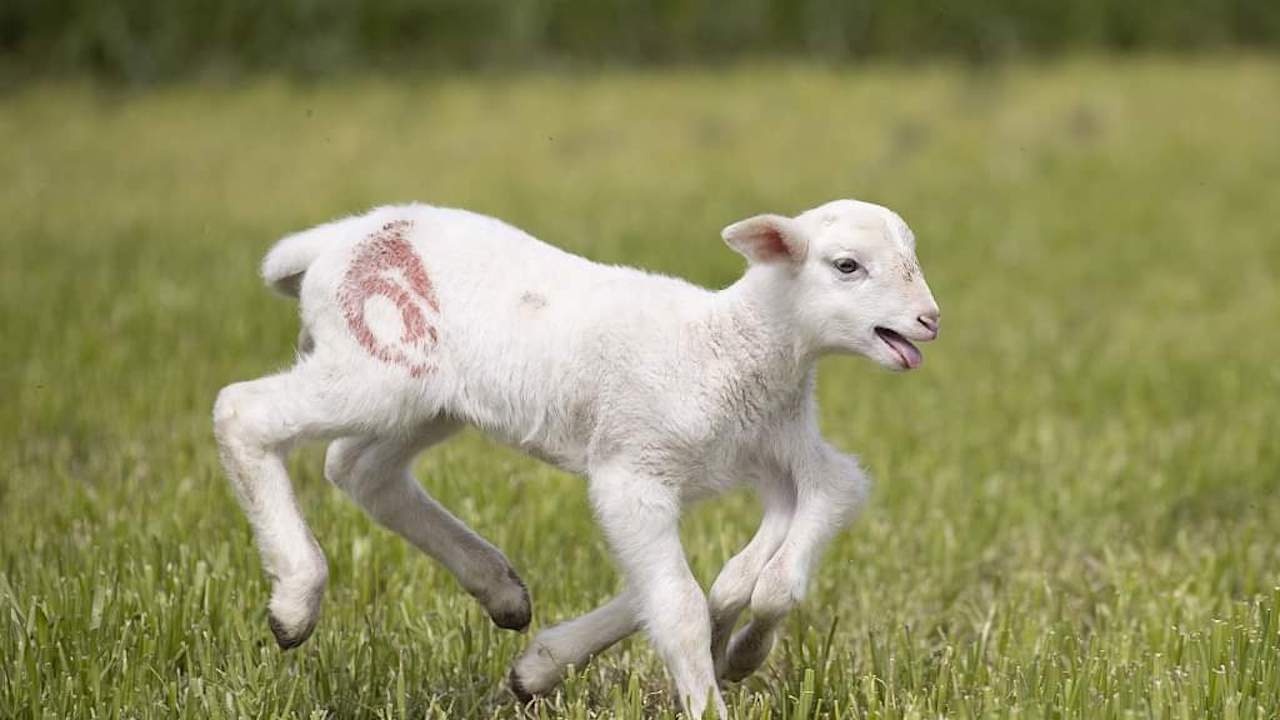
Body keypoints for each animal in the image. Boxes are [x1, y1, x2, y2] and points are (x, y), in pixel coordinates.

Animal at [212, 196, 942, 712]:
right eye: (847, 266)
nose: (930, 319)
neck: (730, 344)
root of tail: (331, 242)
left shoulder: (783, 450)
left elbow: (780, 552)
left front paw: (547, 667)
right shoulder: (633, 470)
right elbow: (678, 601)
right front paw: (708, 689)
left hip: (428, 399)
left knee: (359, 469)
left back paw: (500, 591)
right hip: (376, 367)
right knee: (243, 411)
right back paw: (295, 601)